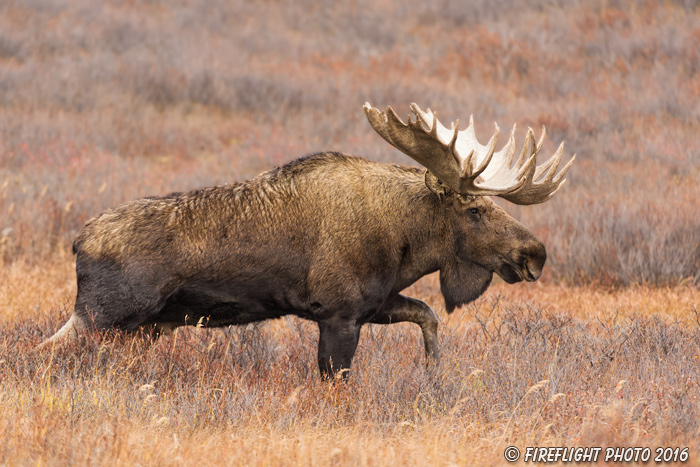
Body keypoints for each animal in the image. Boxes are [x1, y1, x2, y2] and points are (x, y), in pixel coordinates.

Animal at [39, 103, 576, 380]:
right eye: (475, 210)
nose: (535, 254)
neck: (405, 238)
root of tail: (77, 242)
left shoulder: (374, 303)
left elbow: (427, 316)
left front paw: (433, 373)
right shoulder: (338, 313)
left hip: (138, 328)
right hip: (99, 316)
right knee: (41, 349)